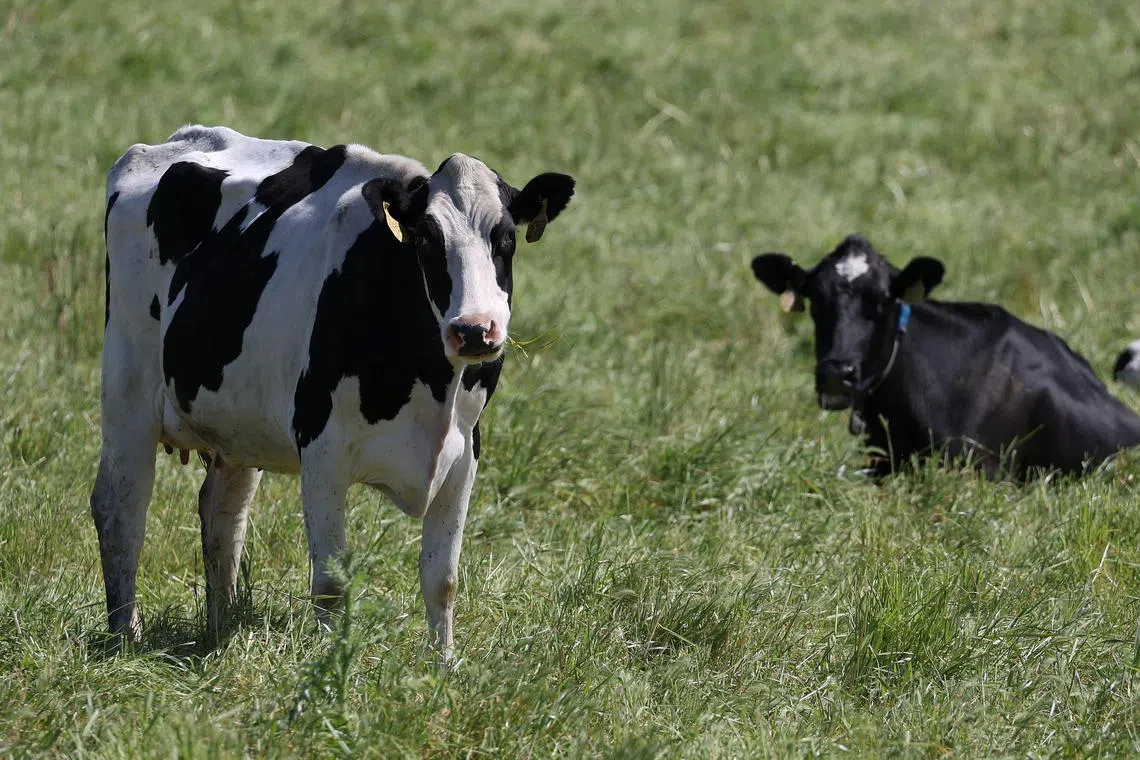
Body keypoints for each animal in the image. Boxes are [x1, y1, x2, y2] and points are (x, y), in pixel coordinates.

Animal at [94, 125, 575, 656]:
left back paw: (220, 632)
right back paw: (125, 633)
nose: (473, 330)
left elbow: (442, 579)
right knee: (120, 508)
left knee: (222, 514)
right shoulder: (322, 452)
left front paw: (444, 664)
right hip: (128, 391)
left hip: (237, 423)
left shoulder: (464, 453)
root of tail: (180, 140)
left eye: (505, 238)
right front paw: (328, 663)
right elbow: (330, 584)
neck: (432, 387)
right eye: (426, 238)